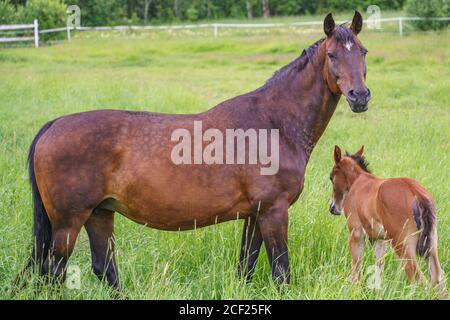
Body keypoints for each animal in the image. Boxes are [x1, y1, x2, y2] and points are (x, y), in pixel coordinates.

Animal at [22, 12, 370, 288]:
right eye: (332, 55)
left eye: (363, 51)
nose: (360, 96)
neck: (274, 123)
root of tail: (53, 125)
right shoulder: (274, 211)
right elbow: (281, 271)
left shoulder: (255, 215)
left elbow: (246, 267)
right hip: (68, 223)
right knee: (55, 272)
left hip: (99, 214)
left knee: (103, 268)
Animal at [328, 146, 444, 292]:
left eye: (331, 177)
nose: (332, 207)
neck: (358, 181)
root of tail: (416, 193)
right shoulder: (379, 239)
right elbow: (379, 267)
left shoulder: (356, 234)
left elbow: (356, 266)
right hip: (431, 246)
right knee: (439, 279)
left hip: (402, 246)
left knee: (419, 280)